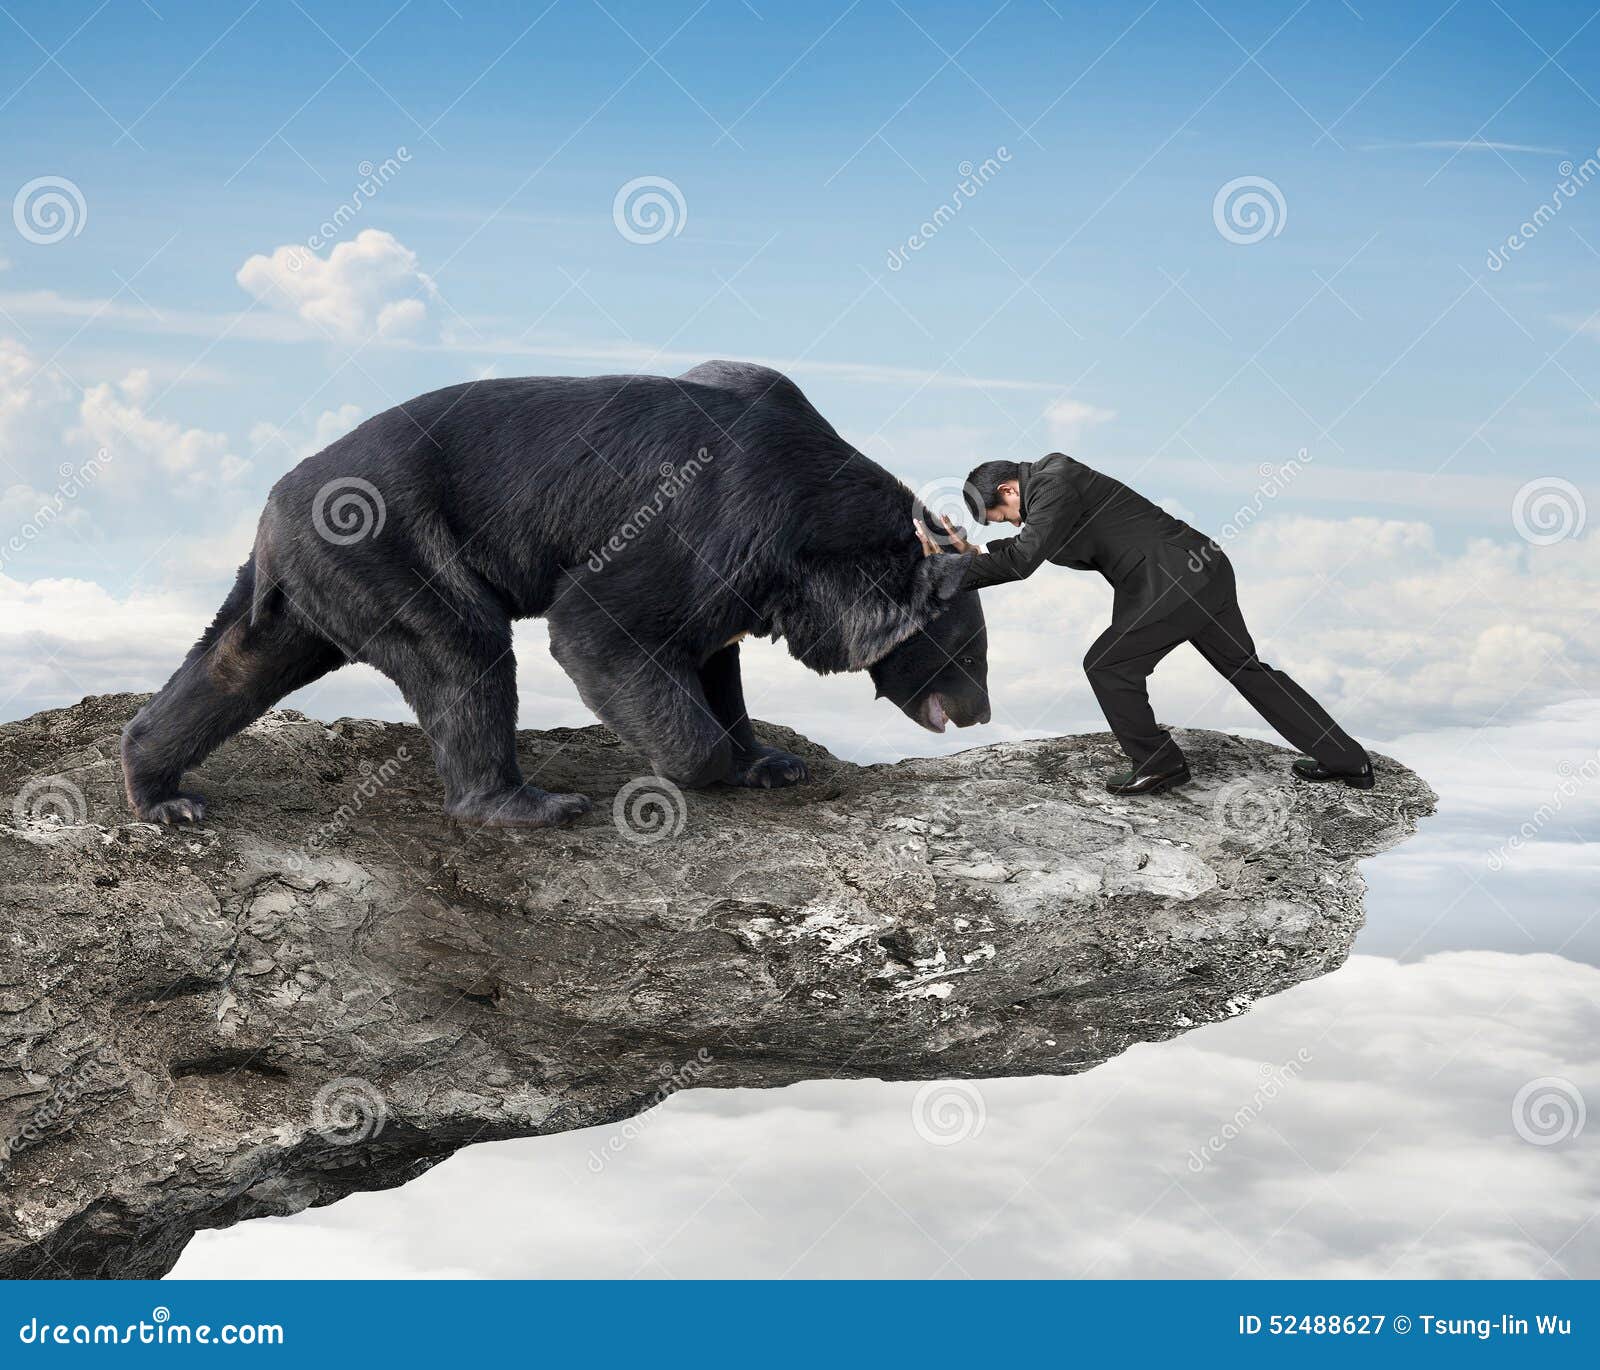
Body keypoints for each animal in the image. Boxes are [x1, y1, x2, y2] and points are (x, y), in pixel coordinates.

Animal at [124, 358, 992, 825]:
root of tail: (272, 512)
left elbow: (714, 658)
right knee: (463, 650)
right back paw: (524, 804)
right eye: (965, 652)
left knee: (236, 665)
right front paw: (697, 766)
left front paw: (770, 762)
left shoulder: (742, 579)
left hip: (309, 589)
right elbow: (602, 624)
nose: (980, 711)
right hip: (390, 545)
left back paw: (162, 792)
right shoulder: (711, 526)